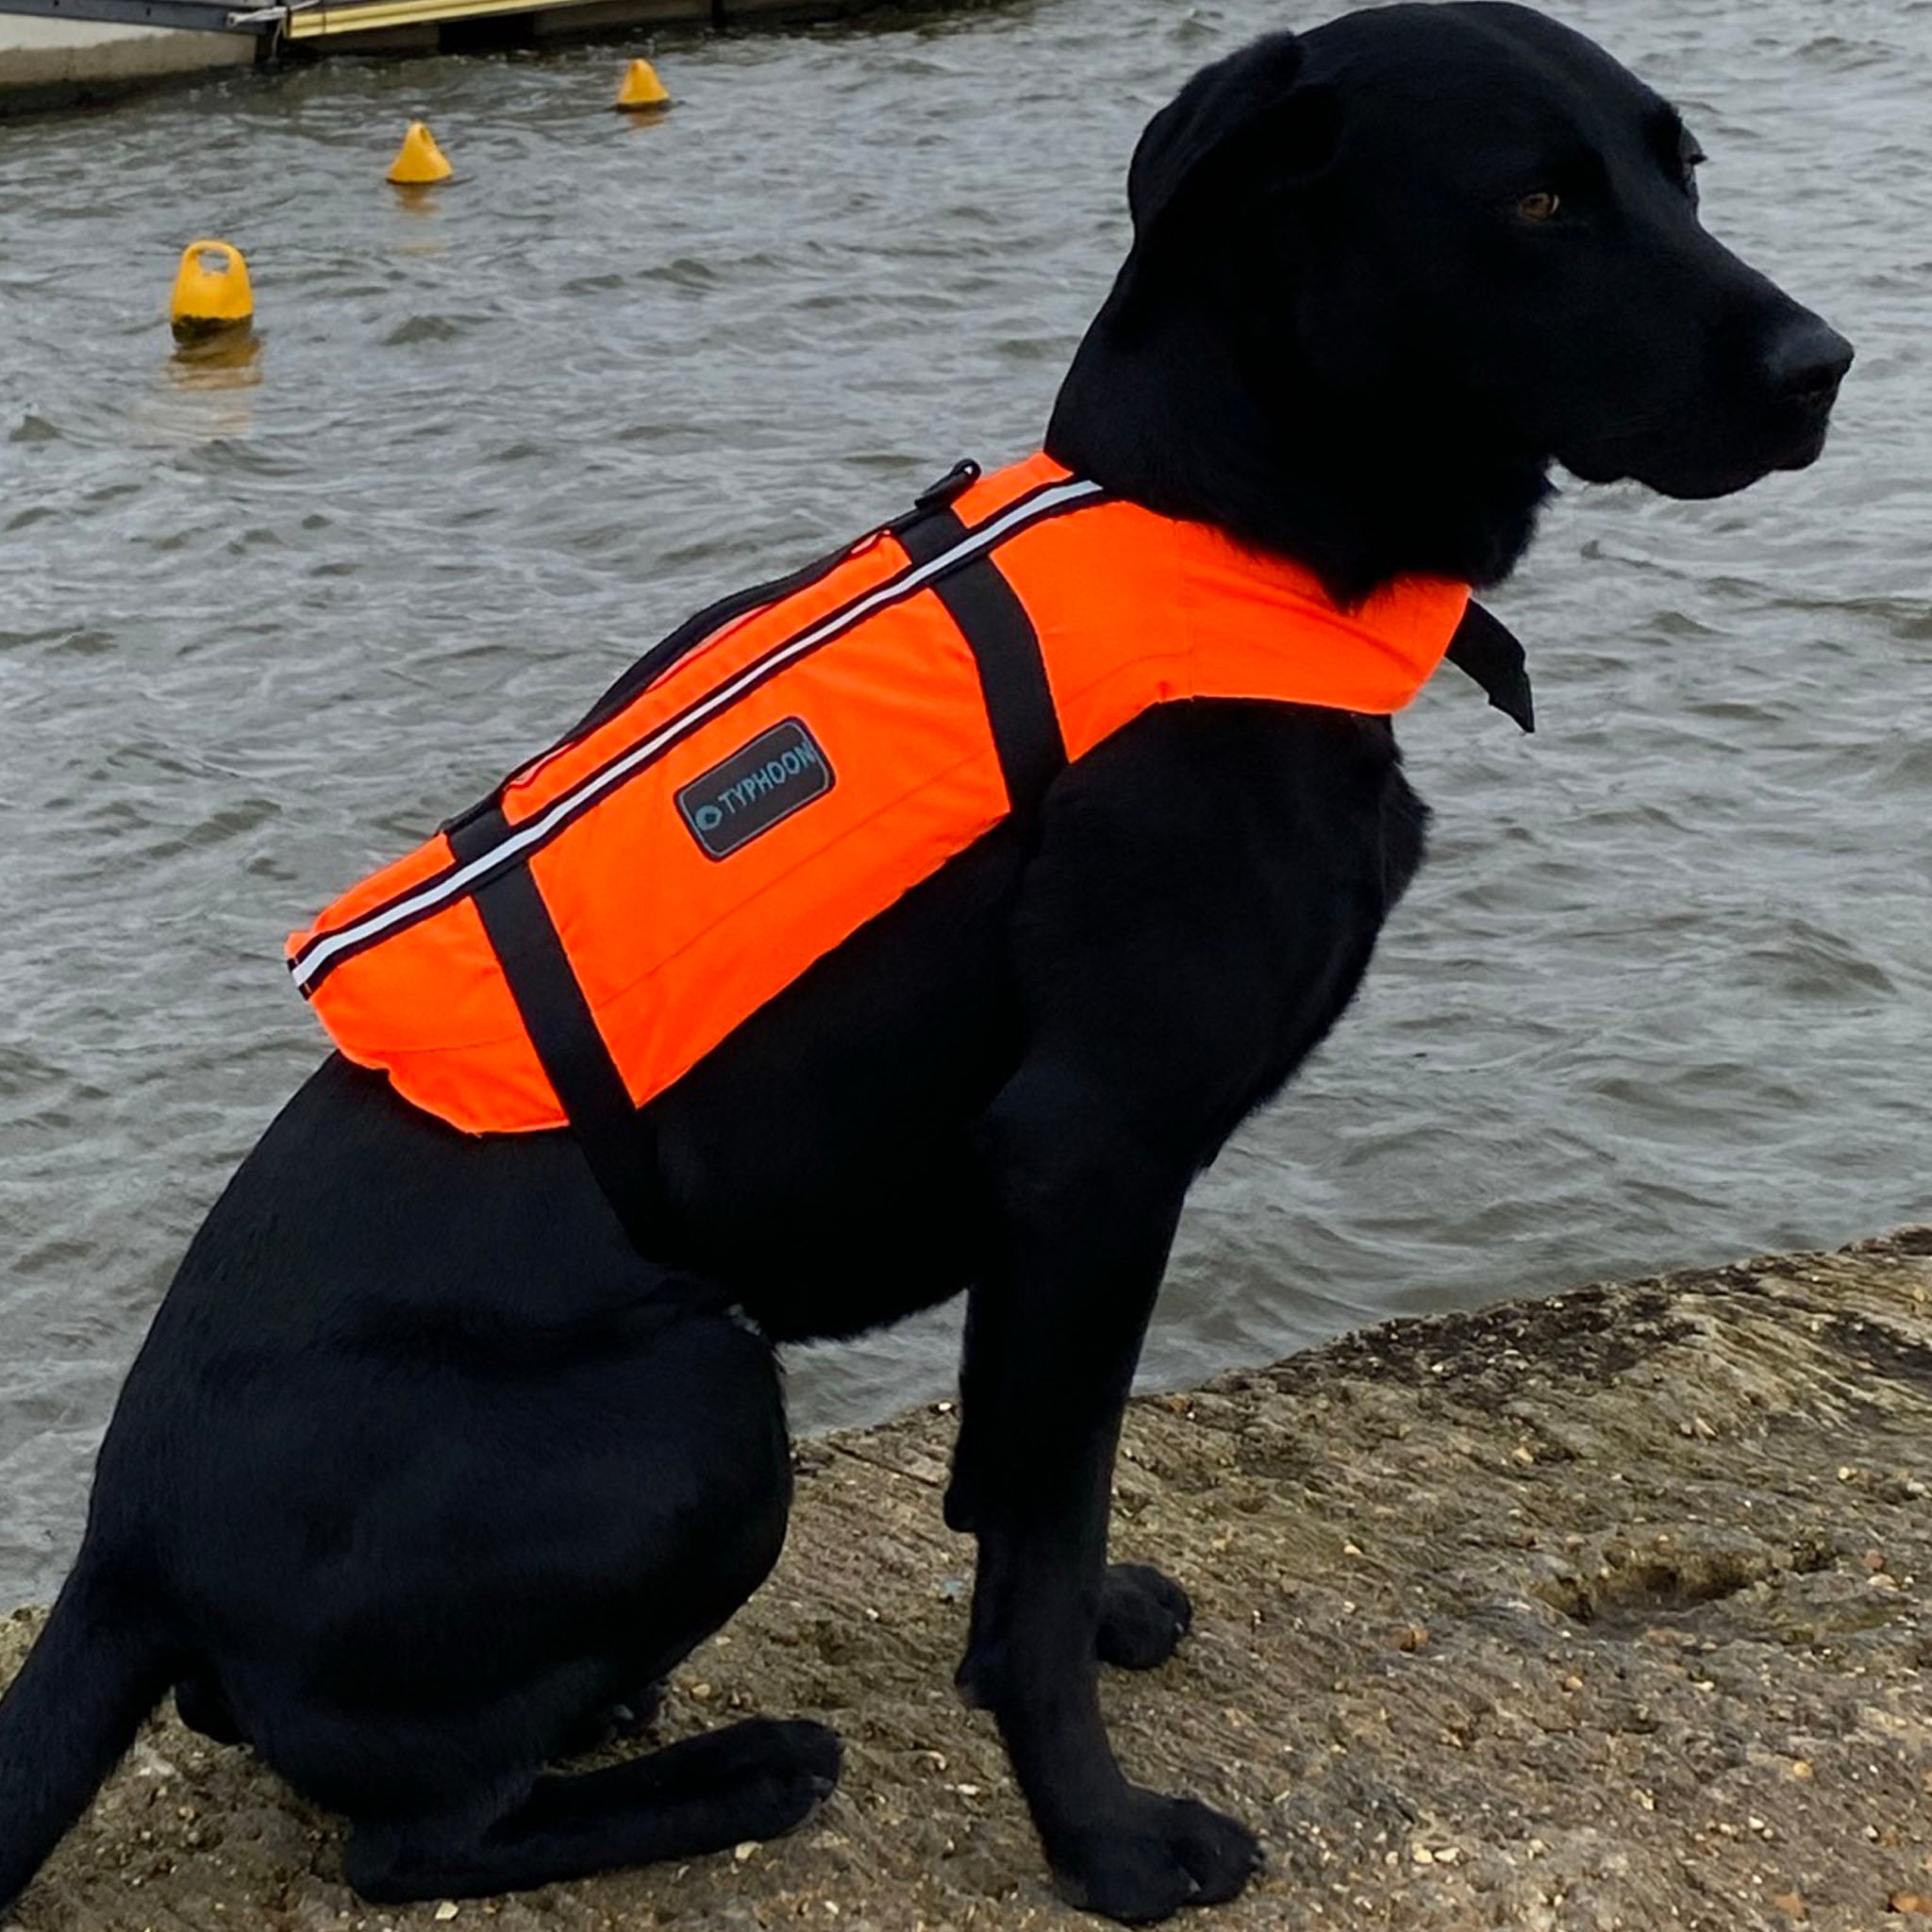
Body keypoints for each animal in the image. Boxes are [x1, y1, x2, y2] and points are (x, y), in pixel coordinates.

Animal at [0, 8, 1846, 1924]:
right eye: (1539, 202)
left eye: (1681, 170)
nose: (1826, 366)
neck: (1226, 522)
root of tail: (119, 1548)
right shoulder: (1094, 1152)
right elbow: (1037, 1530)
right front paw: (1102, 1836)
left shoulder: (1051, 1208)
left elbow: (1026, 1482)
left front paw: (1089, 1632)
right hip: (701, 1401)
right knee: (403, 1838)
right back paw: (743, 1767)